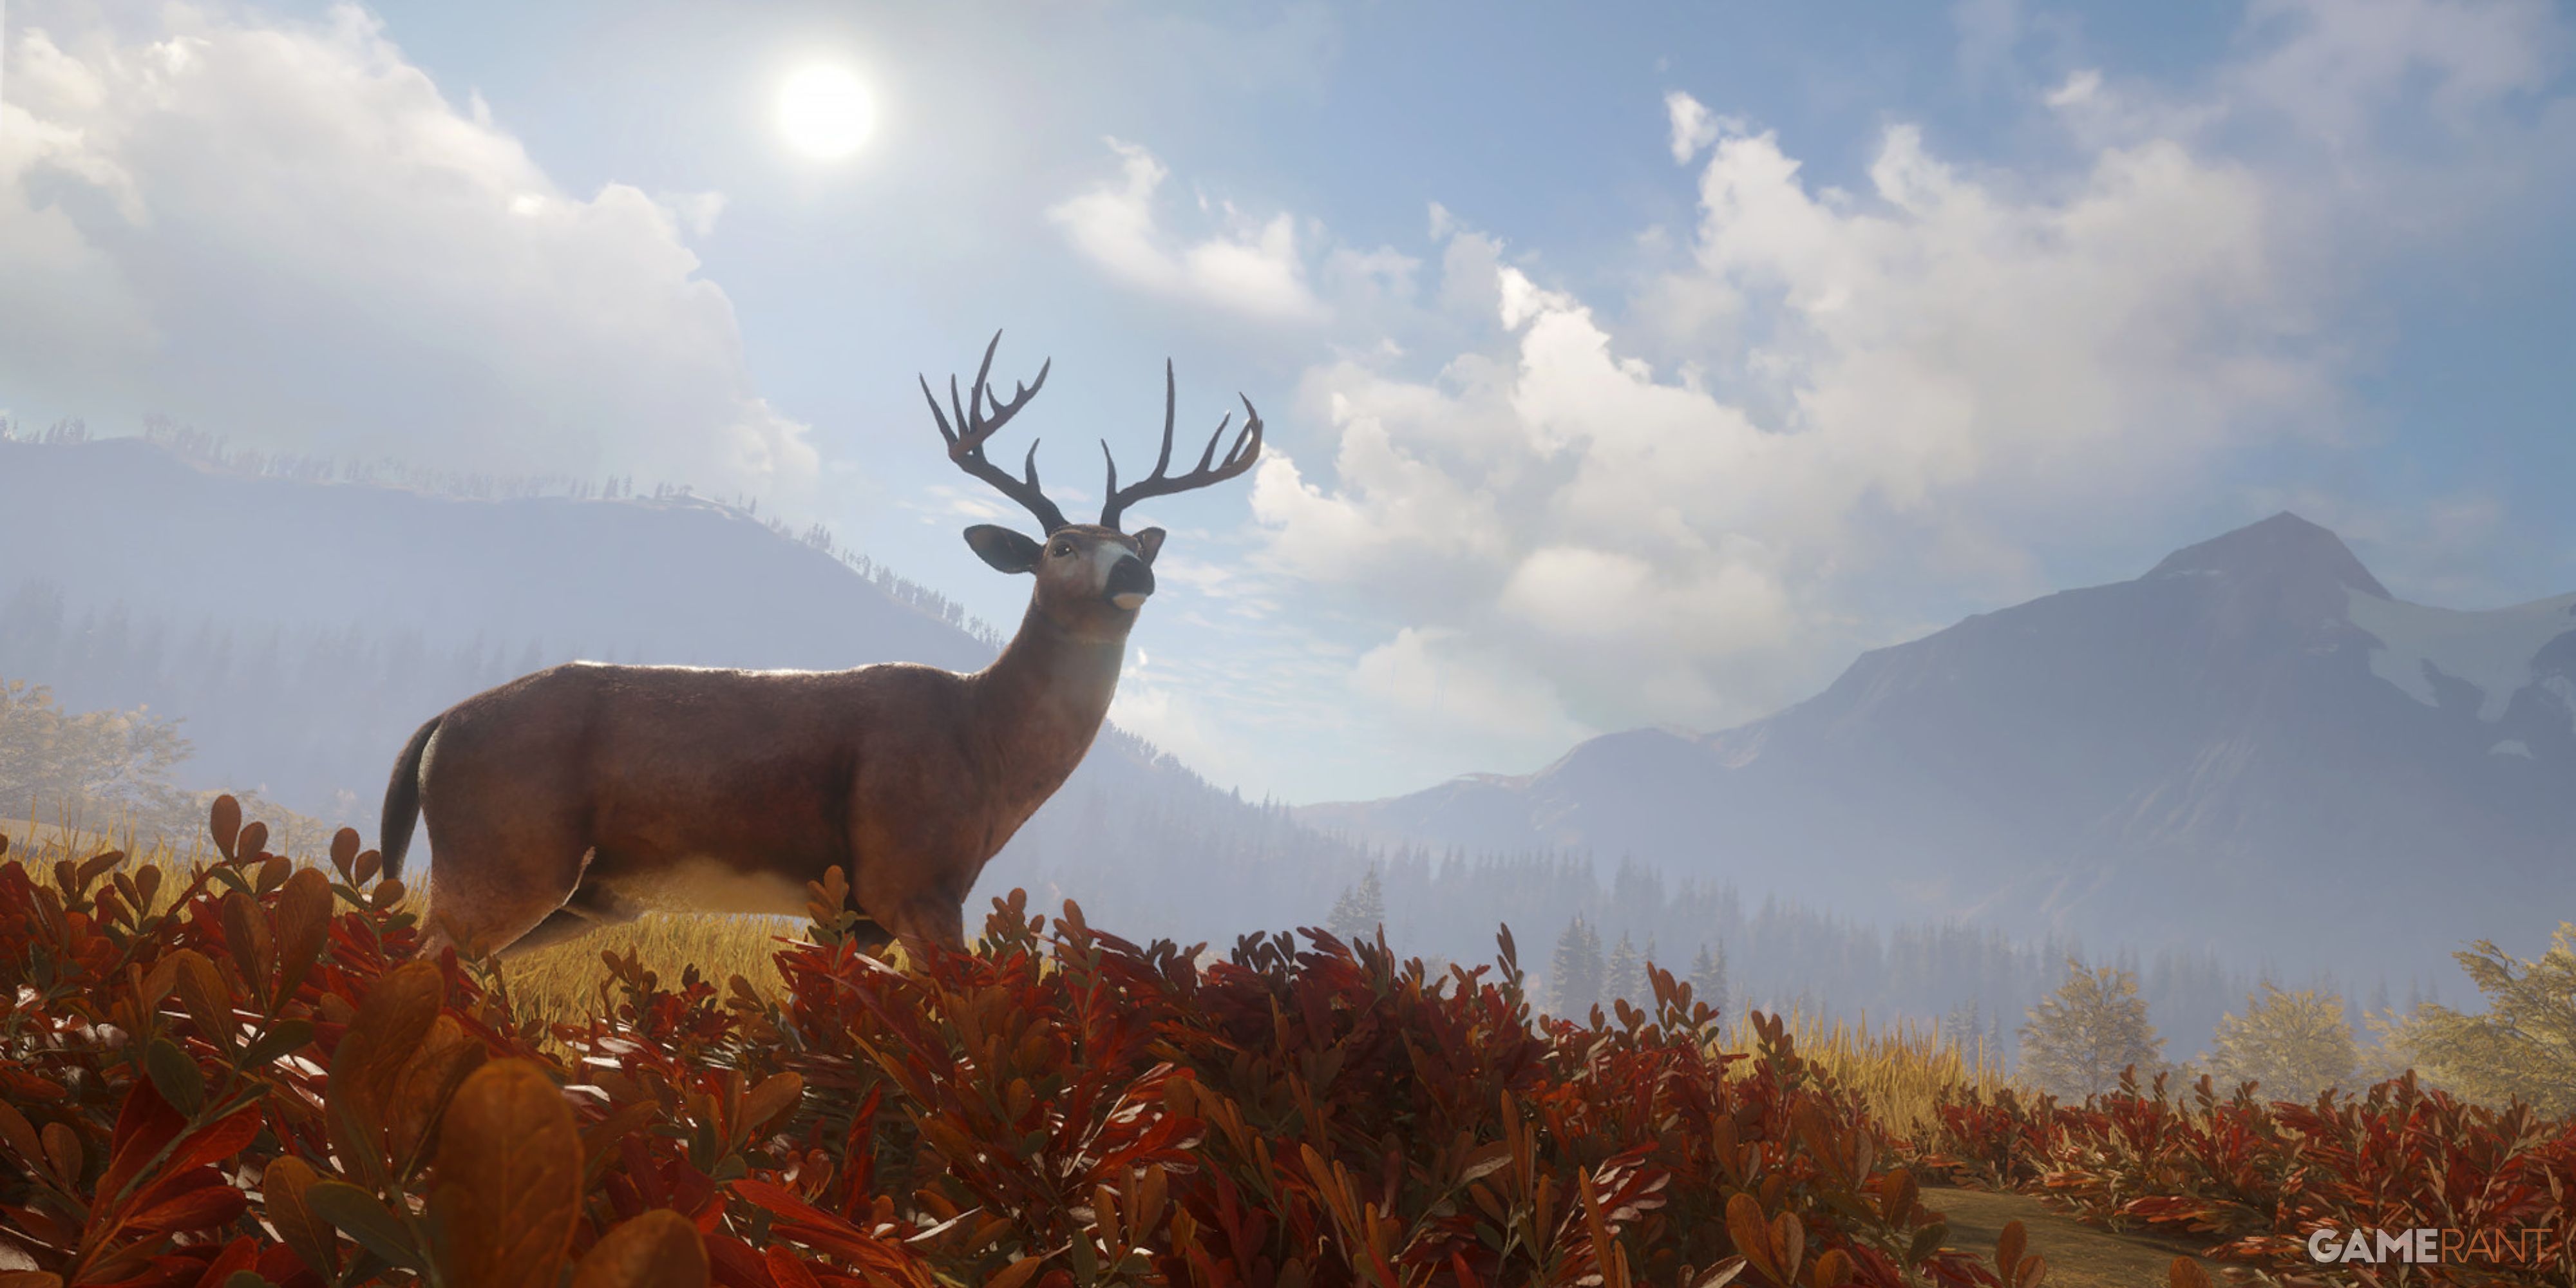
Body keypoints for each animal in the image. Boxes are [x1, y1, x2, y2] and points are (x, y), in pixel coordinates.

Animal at [376, 332, 1261, 961]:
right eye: (1062, 547)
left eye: (1129, 541)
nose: (1137, 569)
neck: (986, 746)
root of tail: (437, 724)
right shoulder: (909, 878)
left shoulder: (854, 912)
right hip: (502, 853)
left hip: (579, 892)